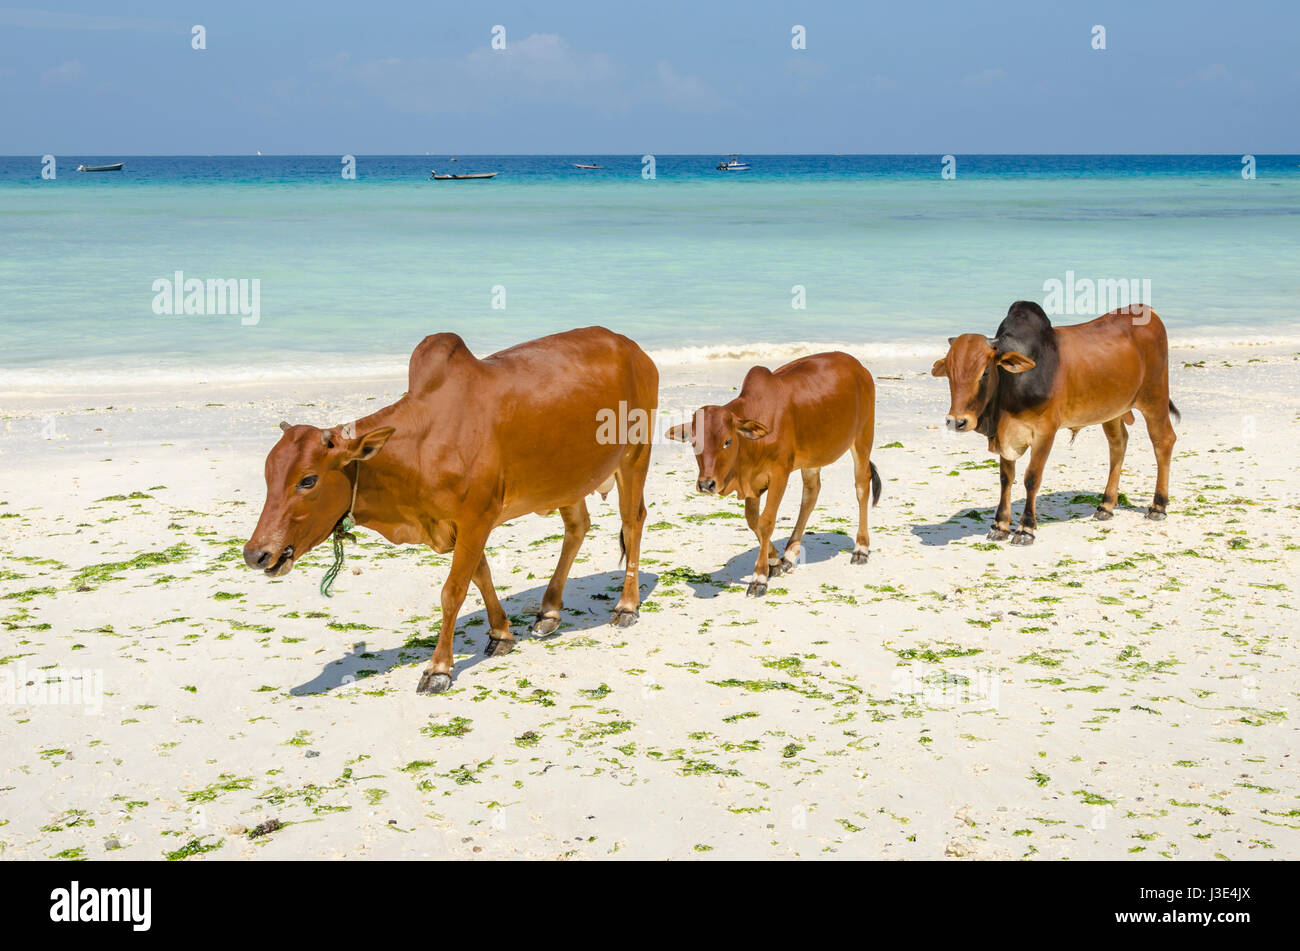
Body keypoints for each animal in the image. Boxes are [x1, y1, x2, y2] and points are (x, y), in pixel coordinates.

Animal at [241, 329, 660, 696]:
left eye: (308, 480)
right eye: (268, 476)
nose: (256, 553)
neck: (420, 445)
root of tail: (633, 349)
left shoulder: (476, 518)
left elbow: (453, 591)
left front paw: (438, 668)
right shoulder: (458, 525)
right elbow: (480, 575)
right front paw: (501, 633)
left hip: (634, 457)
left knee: (632, 522)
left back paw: (626, 606)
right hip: (567, 480)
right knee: (577, 528)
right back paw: (549, 613)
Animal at [670, 353, 883, 597]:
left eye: (727, 441)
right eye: (694, 442)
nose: (706, 485)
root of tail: (858, 365)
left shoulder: (780, 474)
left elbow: (766, 522)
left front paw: (759, 577)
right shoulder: (753, 482)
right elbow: (753, 521)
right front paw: (774, 561)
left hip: (863, 439)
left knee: (862, 487)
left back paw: (861, 548)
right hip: (812, 459)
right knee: (811, 495)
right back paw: (790, 554)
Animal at [930, 301, 1185, 545]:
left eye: (984, 372)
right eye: (950, 372)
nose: (957, 421)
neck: (1011, 385)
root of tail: (1149, 313)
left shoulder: (1045, 432)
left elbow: (1031, 478)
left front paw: (1025, 529)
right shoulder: (1007, 436)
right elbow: (1005, 478)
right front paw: (999, 526)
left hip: (1155, 398)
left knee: (1163, 441)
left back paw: (1158, 506)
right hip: (1112, 411)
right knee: (1118, 445)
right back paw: (1106, 505)